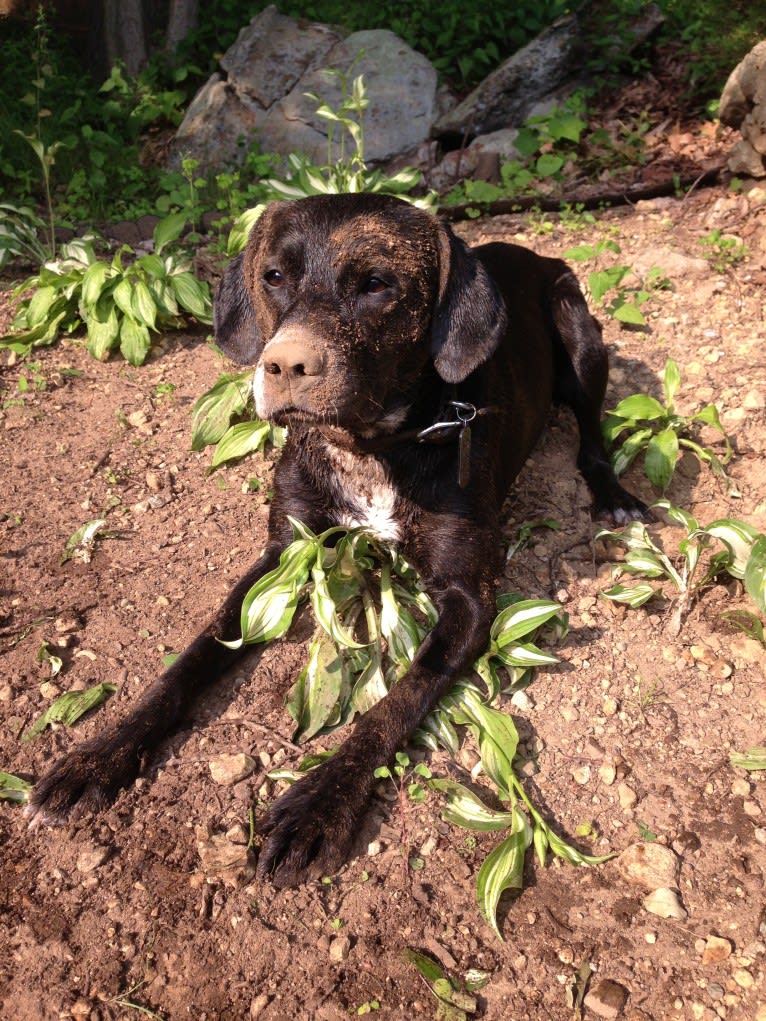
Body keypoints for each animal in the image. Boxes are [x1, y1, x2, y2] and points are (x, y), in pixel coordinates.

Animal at [27, 192, 645, 886]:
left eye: (377, 285)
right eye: (273, 276)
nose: (283, 365)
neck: (369, 446)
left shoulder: (471, 597)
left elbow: (395, 702)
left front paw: (320, 804)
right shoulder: (282, 557)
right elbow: (190, 659)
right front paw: (102, 753)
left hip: (581, 332)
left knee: (593, 431)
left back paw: (614, 494)